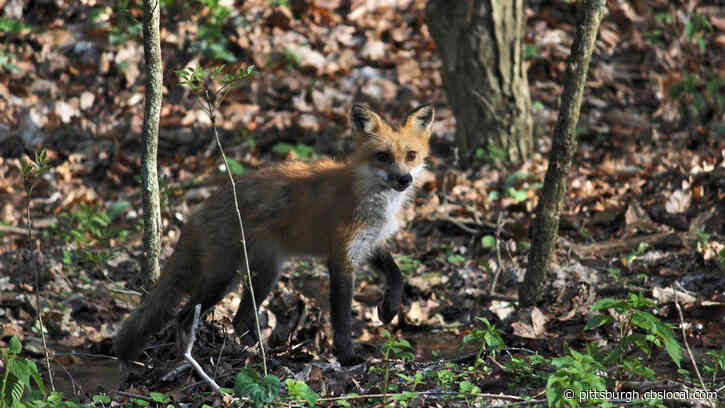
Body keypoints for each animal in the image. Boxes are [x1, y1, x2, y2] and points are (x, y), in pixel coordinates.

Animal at [114, 103, 434, 366]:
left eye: (411, 155)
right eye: (382, 156)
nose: (403, 179)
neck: (372, 197)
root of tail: (198, 210)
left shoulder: (369, 243)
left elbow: (396, 275)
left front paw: (389, 309)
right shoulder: (341, 256)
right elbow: (342, 318)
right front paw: (347, 357)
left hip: (264, 274)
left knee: (240, 321)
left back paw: (262, 356)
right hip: (223, 278)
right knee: (184, 317)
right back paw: (192, 361)